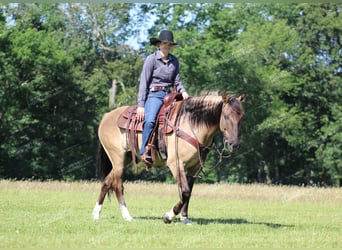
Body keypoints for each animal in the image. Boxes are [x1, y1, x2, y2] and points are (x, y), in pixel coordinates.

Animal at [92, 92, 244, 225]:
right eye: (226, 116)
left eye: (241, 117)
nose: (234, 144)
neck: (191, 124)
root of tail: (106, 116)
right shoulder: (176, 164)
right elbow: (185, 191)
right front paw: (168, 216)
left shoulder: (195, 168)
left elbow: (188, 192)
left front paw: (185, 218)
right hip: (117, 159)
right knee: (118, 185)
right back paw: (127, 216)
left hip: (125, 158)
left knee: (107, 182)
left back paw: (96, 214)